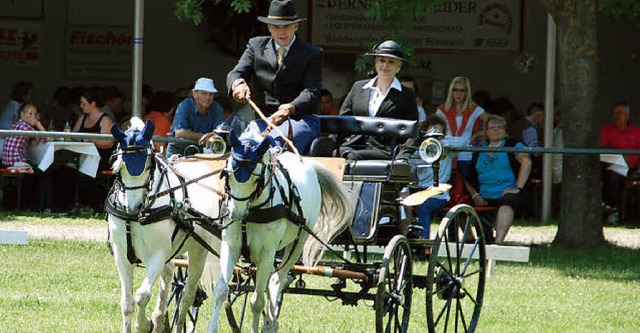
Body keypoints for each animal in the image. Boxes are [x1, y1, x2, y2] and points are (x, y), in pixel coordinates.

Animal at [107, 118, 222, 330]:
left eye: (148, 166)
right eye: (119, 166)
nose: (134, 206)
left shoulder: (157, 255)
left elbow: (142, 295)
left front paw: (144, 325)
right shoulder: (121, 254)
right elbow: (127, 303)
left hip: (198, 251)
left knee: (187, 296)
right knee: (169, 277)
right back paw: (160, 318)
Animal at [205, 131, 356, 330]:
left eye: (256, 179)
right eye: (228, 174)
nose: (235, 213)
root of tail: (308, 163)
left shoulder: (267, 253)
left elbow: (257, 301)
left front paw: (258, 327)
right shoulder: (231, 246)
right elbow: (222, 290)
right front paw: (212, 327)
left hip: (298, 242)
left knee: (277, 280)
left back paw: (270, 323)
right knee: (272, 281)